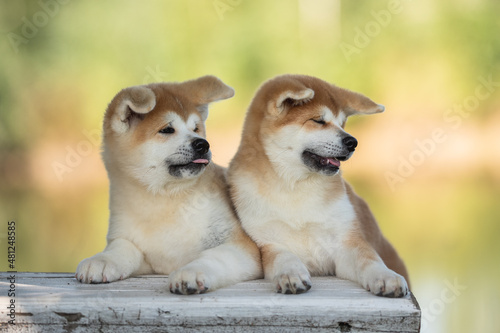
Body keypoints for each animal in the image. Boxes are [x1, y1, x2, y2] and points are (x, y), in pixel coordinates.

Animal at [75, 75, 262, 294]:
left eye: (195, 128)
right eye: (167, 130)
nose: (202, 144)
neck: (166, 199)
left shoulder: (240, 244)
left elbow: (214, 257)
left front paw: (192, 272)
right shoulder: (136, 246)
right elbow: (121, 247)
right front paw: (102, 260)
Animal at [229, 74, 410, 296]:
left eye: (342, 124)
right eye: (318, 121)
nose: (353, 142)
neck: (296, 186)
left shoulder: (346, 241)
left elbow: (370, 259)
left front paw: (386, 277)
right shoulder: (268, 241)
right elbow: (284, 257)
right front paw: (291, 274)